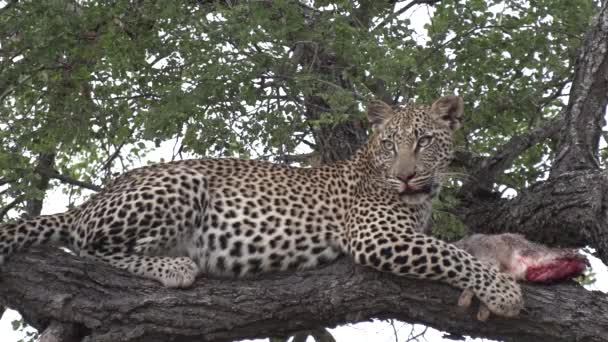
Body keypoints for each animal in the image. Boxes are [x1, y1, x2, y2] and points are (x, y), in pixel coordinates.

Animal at [0, 94, 524, 318]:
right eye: (390, 144)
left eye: (424, 141)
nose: (406, 175)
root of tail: (92, 199)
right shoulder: (378, 237)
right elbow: (448, 254)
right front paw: (503, 293)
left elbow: (456, 247)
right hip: (182, 182)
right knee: (88, 246)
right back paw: (175, 266)